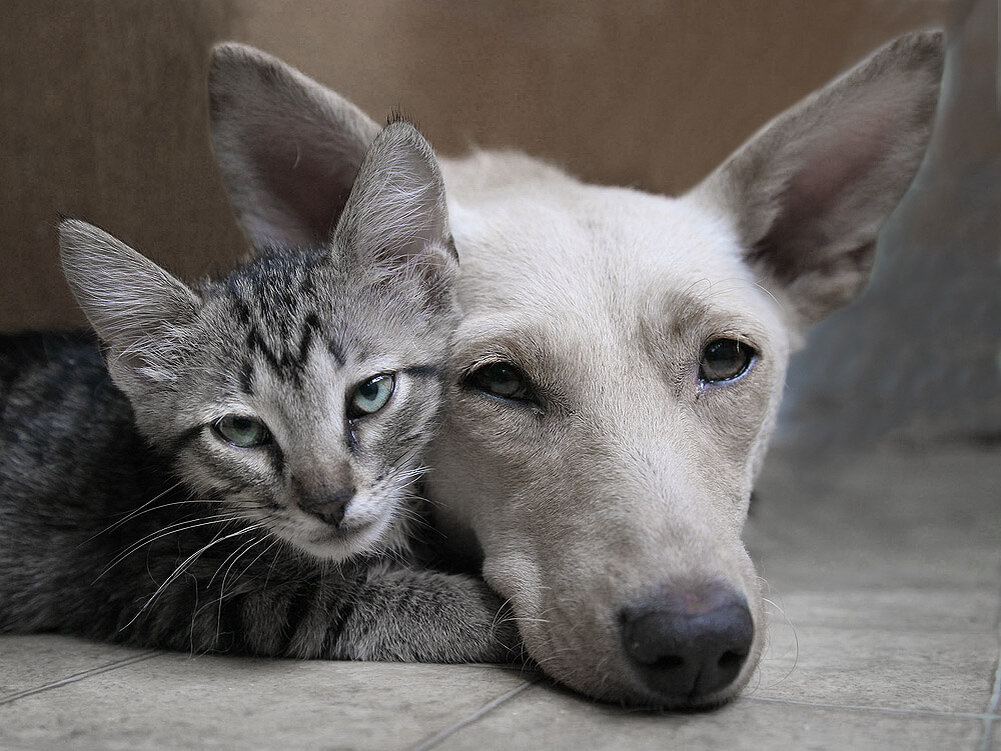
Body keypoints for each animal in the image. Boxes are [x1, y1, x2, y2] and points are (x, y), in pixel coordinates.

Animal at [0, 119, 516, 664]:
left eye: (371, 393)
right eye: (240, 429)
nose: (330, 504)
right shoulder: (169, 586)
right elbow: (329, 599)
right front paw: (486, 611)